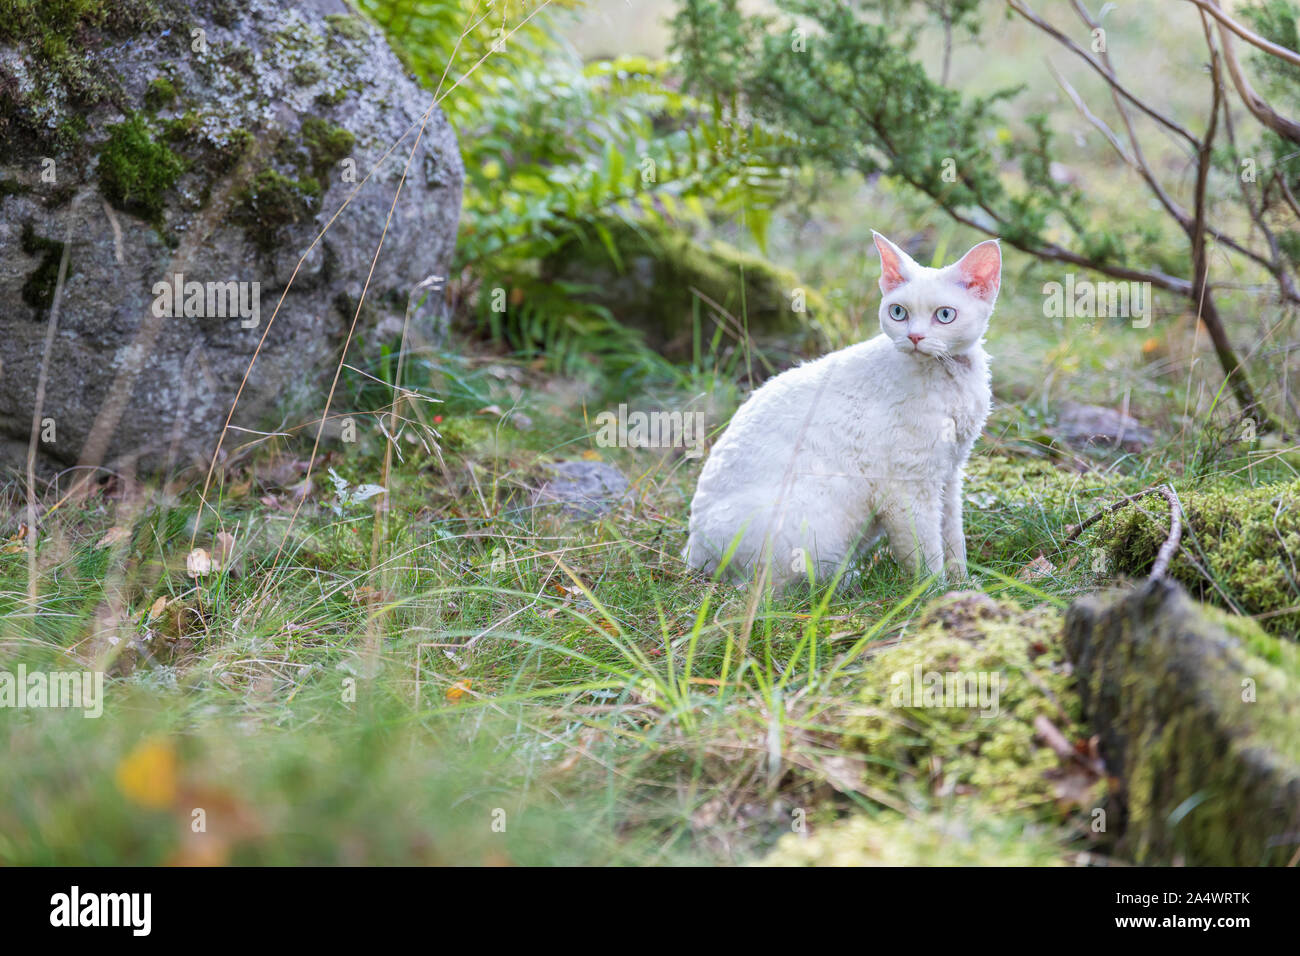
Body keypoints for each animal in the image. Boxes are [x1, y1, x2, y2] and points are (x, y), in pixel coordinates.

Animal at [686, 234, 998, 590]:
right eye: (898, 312)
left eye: (945, 315)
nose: (915, 336)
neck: (953, 375)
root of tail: (693, 554)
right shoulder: (908, 487)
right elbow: (926, 554)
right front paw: (933, 594)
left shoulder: (951, 471)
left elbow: (953, 539)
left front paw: (963, 585)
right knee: (767, 587)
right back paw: (849, 581)